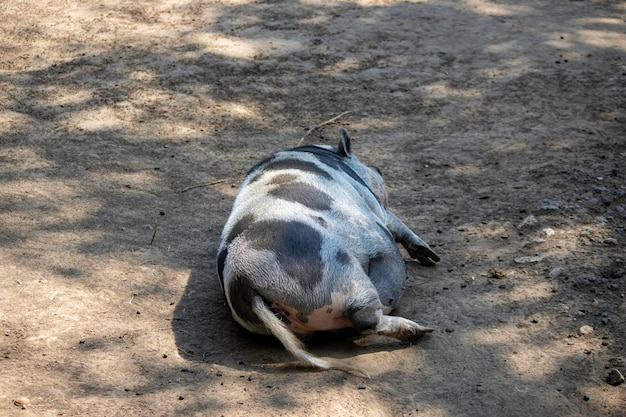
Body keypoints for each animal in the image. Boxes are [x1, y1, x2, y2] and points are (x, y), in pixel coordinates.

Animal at [216, 127, 438, 376]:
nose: (378, 169)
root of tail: (240, 278)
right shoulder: (375, 204)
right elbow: (395, 222)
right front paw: (432, 258)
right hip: (341, 273)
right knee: (364, 319)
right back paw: (422, 330)